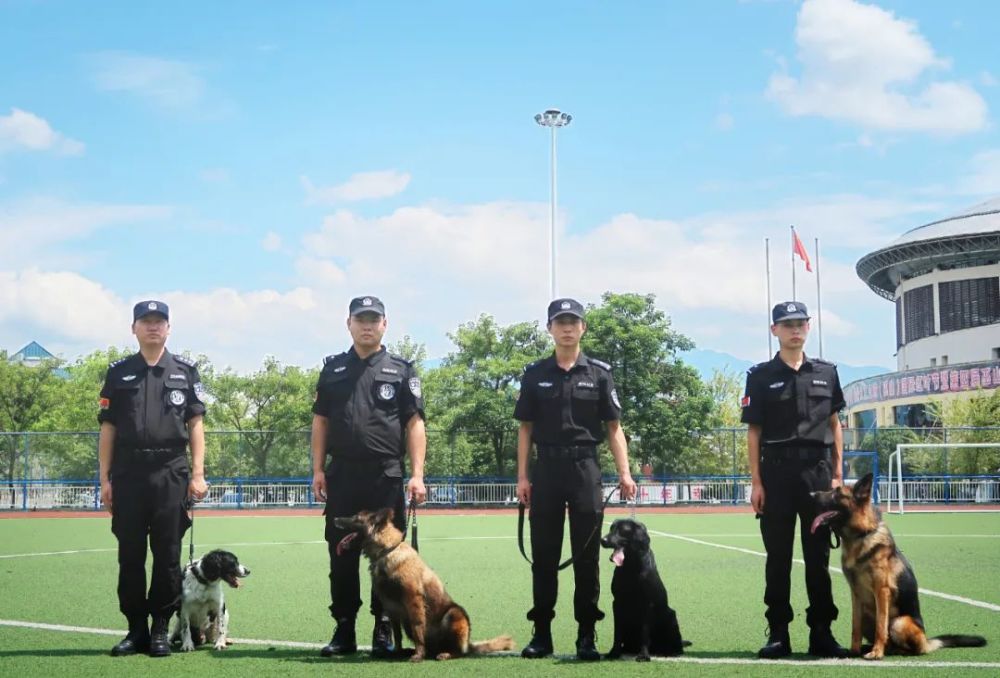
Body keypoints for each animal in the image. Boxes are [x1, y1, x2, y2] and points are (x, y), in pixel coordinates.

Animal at [334, 510, 512, 664]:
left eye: (356, 518)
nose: (334, 519)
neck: (387, 550)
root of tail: (468, 643)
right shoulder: (392, 608)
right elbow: (397, 634)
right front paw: (397, 652)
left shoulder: (414, 601)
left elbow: (418, 628)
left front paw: (418, 655)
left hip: (454, 614)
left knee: (459, 651)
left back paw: (444, 653)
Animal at [596, 520, 684, 664]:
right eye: (611, 528)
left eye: (622, 530)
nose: (602, 540)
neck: (630, 566)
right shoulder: (617, 602)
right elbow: (617, 632)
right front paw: (614, 652)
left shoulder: (647, 603)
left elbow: (644, 632)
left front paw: (643, 655)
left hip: (671, 615)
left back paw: (672, 652)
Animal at [812, 476, 984, 660]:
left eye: (836, 493)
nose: (811, 494)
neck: (860, 535)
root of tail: (926, 640)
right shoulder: (856, 594)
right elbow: (855, 627)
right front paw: (853, 651)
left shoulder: (881, 591)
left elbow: (881, 627)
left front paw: (877, 653)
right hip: (868, 616)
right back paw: (870, 647)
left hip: (898, 622)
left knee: (910, 648)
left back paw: (888, 650)